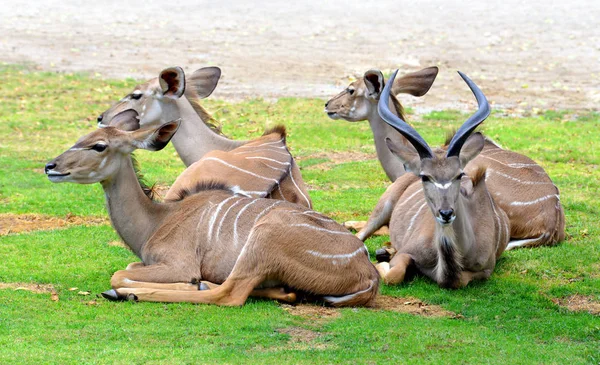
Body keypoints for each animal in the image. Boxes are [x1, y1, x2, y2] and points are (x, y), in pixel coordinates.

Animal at [44, 121, 378, 306]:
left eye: (99, 146)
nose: (50, 166)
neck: (157, 220)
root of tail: (368, 272)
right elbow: (127, 267)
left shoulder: (179, 263)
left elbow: (119, 274)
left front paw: (129, 288)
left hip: (264, 238)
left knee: (229, 295)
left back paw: (136, 293)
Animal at [376, 70, 506, 288]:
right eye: (425, 177)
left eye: (460, 174)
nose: (446, 213)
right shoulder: (406, 252)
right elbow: (393, 275)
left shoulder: (486, 269)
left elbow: (458, 280)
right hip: (382, 208)